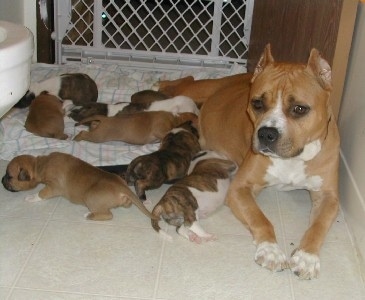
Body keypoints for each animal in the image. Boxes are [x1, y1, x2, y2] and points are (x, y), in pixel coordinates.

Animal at [1, 152, 158, 220]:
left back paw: (89, 215)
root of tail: (122, 187)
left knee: (108, 215)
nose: (2, 181)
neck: (40, 164)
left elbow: (41, 194)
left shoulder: (53, 187)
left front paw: (31, 197)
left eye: (9, 176)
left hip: (90, 198)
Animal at [155, 44, 340, 278]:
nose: (267, 134)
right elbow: (260, 219)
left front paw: (307, 257)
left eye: (299, 108)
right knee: (184, 82)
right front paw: (270, 250)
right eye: (257, 103)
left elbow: (319, 226)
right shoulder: (240, 188)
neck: (293, 159)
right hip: (199, 89)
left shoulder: (329, 197)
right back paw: (159, 82)